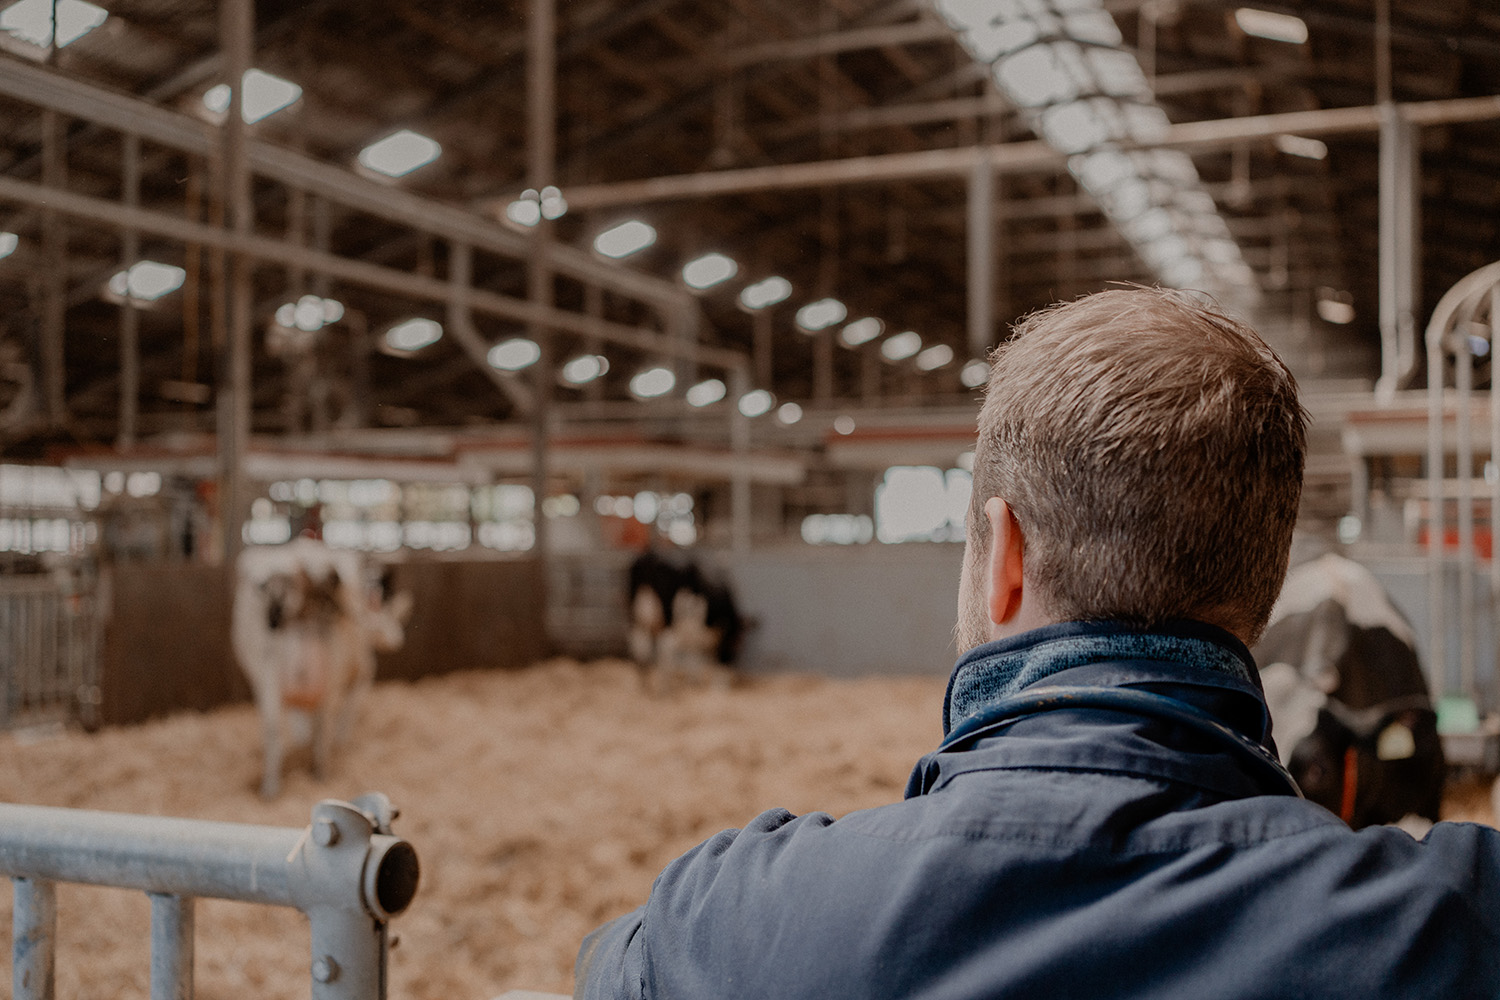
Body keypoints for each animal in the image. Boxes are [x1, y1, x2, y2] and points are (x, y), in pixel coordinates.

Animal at [231, 539, 414, 797]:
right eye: (388, 612)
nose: (396, 640)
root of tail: (300, 563)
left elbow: (299, 725)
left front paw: (301, 744)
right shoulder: (362, 675)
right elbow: (345, 717)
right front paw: (341, 742)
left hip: (267, 676)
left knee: (273, 730)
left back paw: (270, 789)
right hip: (332, 676)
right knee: (323, 726)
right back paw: (321, 773)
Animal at [627, 551, 744, 692]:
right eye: (734, 648)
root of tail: (651, 555)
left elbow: (693, 655)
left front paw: (693, 680)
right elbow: (696, 656)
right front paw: (717, 686)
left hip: (636, 615)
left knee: (639, 645)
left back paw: (644, 685)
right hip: (669, 618)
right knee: (665, 646)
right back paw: (665, 687)